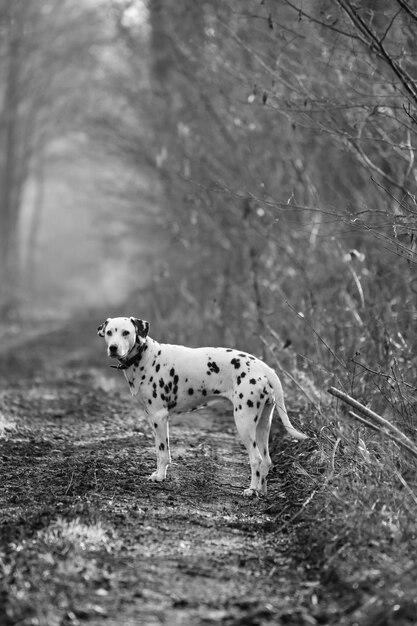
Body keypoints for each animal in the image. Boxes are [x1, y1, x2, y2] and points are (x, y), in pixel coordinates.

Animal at [97, 314, 306, 494]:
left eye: (126, 332)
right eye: (109, 332)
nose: (113, 347)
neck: (146, 357)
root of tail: (265, 369)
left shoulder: (159, 417)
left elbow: (163, 453)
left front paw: (160, 476)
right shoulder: (153, 418)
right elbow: (158, 451)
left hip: (244, 422)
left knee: (256, 459)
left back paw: (251, 490)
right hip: (263, 425)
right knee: (267, 461)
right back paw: (261, 491)